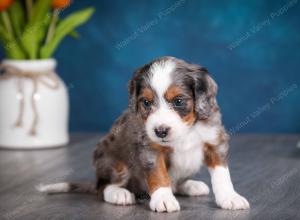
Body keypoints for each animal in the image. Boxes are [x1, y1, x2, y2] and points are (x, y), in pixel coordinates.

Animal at [39, 56, 251, 211]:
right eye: (146, 103)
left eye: (178, 101)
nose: (160, 131)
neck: (187, 129)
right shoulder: (150, 148)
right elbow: (159, 175)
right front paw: (163, 199)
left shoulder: (214, 141)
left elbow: (222, 175)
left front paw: (230, 197)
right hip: (113, 162)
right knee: (103, 187)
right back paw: (119, 194)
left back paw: (191, 185)